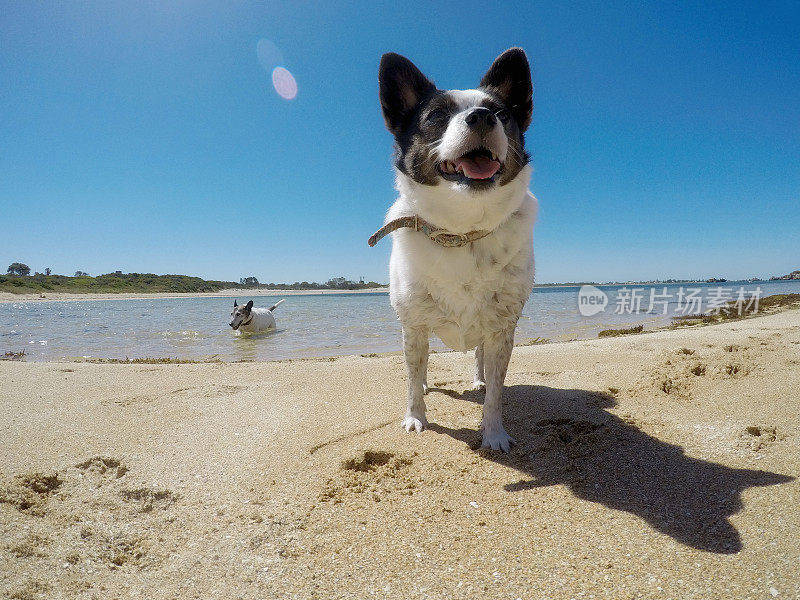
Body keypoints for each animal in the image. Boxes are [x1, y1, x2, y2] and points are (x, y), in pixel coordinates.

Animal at [374, 48, 536, 450]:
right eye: (436, 116)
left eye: (502, 114)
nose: (482, 117)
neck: (461, 230)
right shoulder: (413, 324)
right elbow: (413, 374)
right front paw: (416, 417)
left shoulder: (502, 328)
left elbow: (496, 391)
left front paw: (493, 433)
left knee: (479, 358)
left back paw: (477, 380)